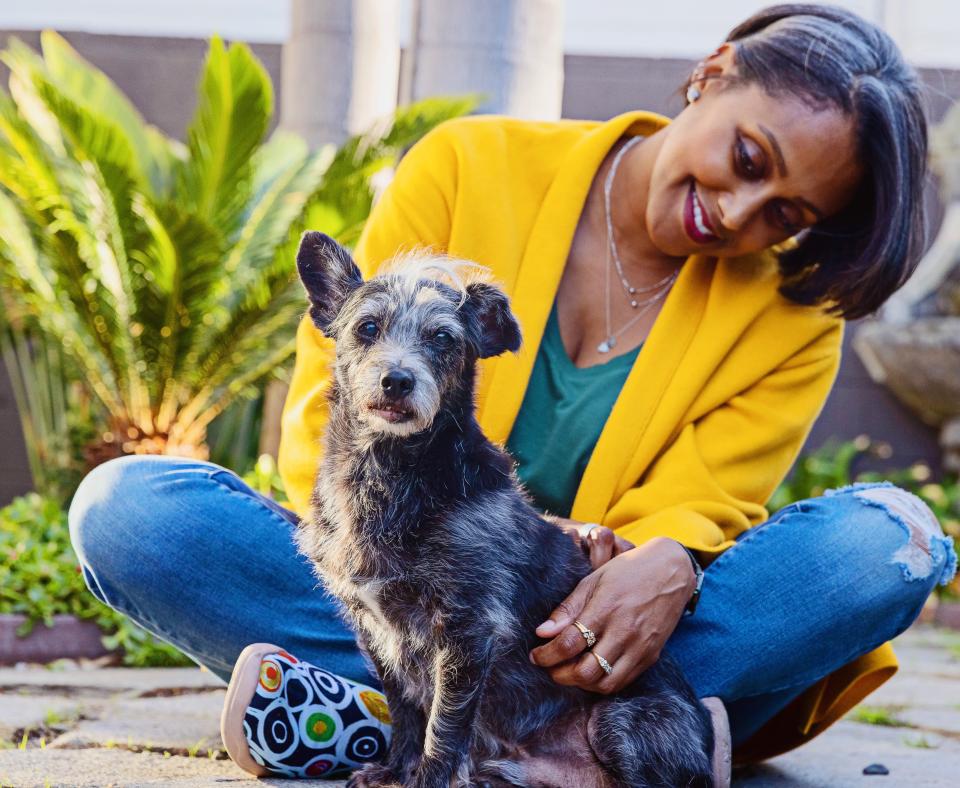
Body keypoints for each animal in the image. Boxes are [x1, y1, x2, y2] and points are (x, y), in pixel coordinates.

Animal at [294, 234, 712, 788]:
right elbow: (405, 708)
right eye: (367, 327)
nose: (397, 380)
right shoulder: (376, 630)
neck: (389, 476)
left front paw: (426, 779)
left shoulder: (468, 627)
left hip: (618, 721)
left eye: (443, 339)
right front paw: (393, 769)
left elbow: (444, 723)